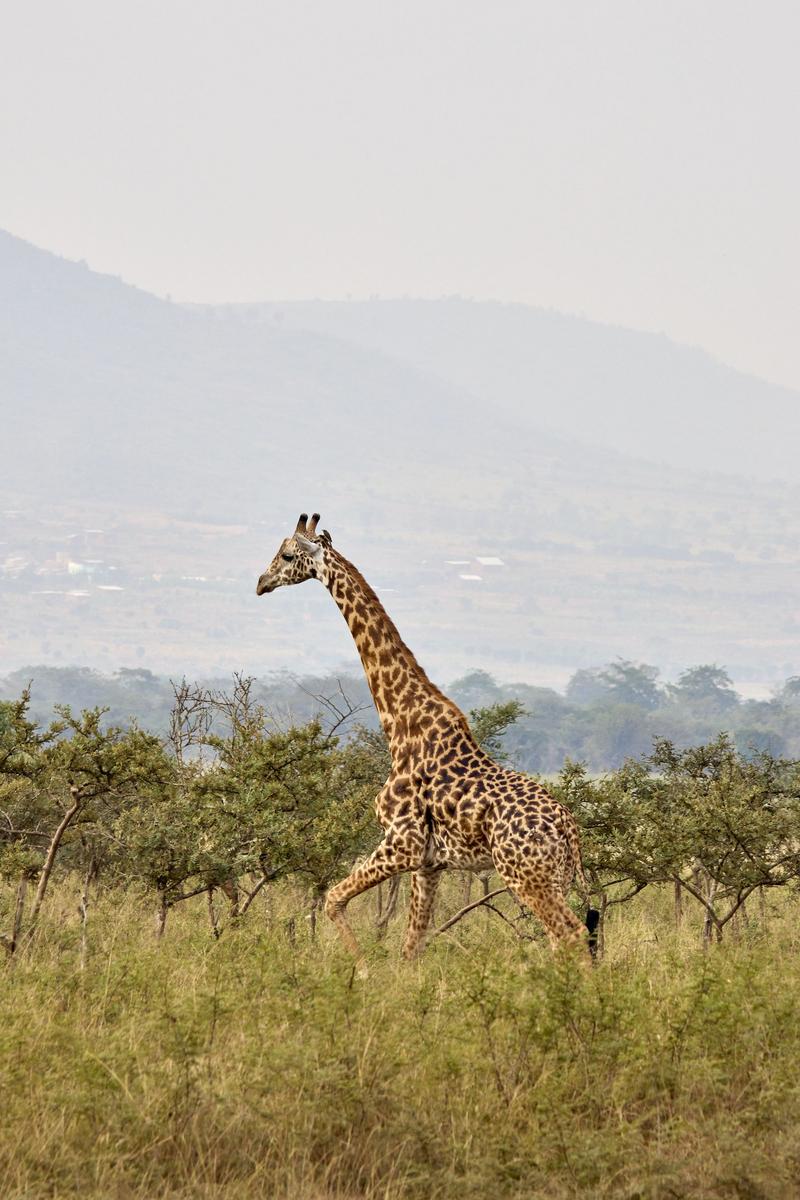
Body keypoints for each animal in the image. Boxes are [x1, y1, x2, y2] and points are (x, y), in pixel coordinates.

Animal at [253, 511, 597, 960]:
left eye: (287, 555)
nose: (261, 582)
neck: (401, 725)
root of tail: (570, 834)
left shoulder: (403, 841)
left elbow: (333, 899)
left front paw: (361, 967)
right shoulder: (430, 863)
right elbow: (411, 945)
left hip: (524, 875)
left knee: (569, 934)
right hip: (552, 876)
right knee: (569, 938)